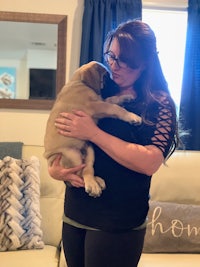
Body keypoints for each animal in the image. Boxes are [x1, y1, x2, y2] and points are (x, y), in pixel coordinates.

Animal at [44, 61, 141, 198]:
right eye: (106, 76)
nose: (117, 85)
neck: (79, 81)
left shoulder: (100, 102)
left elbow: (112, 100)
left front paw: (126, 97)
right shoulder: (95, 106)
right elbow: (115, 108)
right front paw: (133, 117)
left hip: (89, 149)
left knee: (88, 169)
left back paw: (95, 182)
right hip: (71, 154)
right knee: (77, 174)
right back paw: (92, 185)